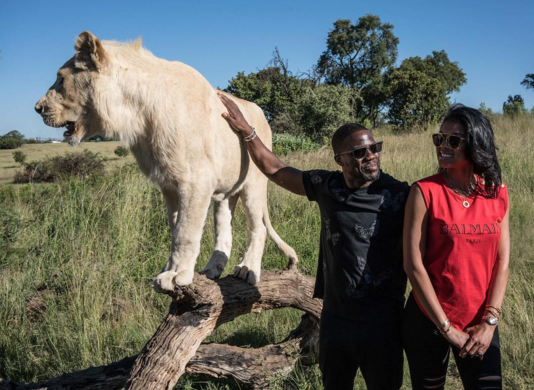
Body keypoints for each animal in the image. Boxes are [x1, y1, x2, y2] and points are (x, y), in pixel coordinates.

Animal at [35, 31, 300, 292]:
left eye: (60, 79)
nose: (38, 108)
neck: (137, 116)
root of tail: (261, 114)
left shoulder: (196, 181)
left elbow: (186, 231)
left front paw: (177, 275)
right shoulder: (169, 185)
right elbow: (175, 229)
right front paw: (171, 268)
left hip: (254, 184)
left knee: (259, 228)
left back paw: (248, 268)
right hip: (226, 193)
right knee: (225, 230)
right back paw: (212, 269)